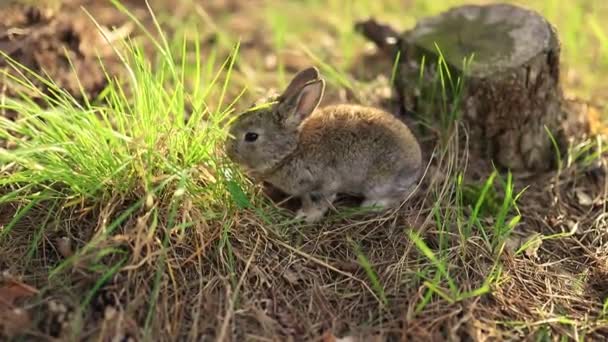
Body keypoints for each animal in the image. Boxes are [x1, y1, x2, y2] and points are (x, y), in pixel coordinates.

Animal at [226, 67, 420, 223]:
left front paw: (307, 216)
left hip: (379, 181)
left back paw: (370, 205)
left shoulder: (325, 182)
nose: (228, 152)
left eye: (251, 136)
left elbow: (321, 200)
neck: (292, 149)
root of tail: (416, 162)